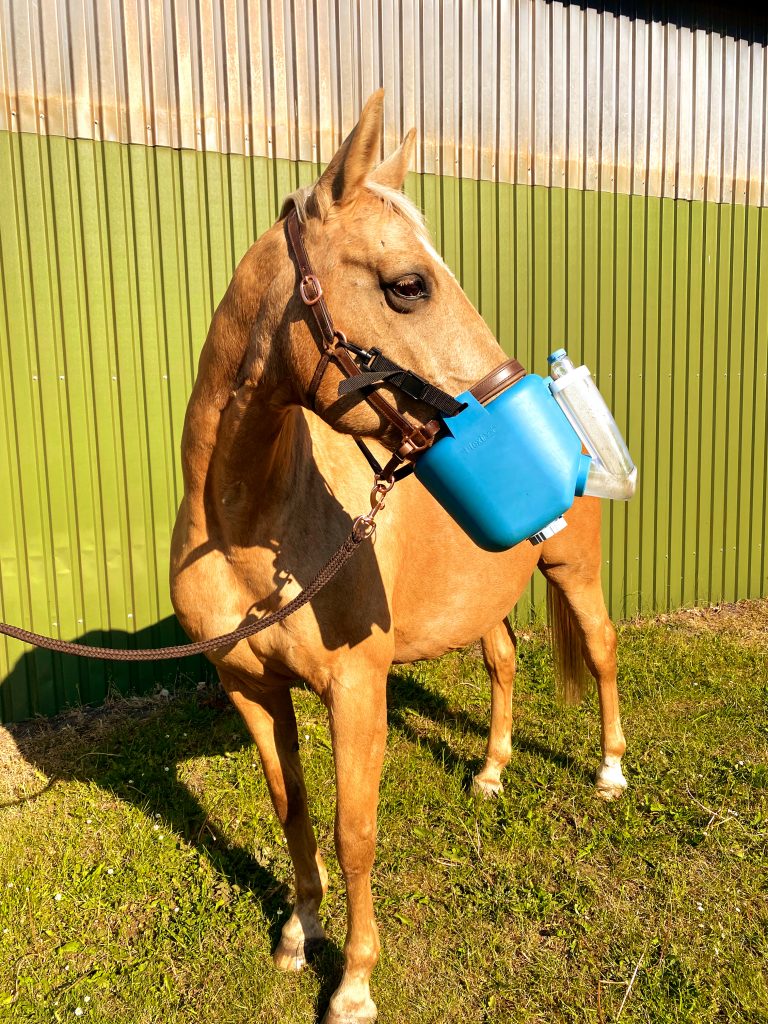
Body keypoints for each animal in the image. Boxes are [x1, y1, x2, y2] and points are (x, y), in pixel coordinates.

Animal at [169, 90, 627, 1024]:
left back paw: (608, 773)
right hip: (485, 597)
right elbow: (292, 808)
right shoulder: (250, 686)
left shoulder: (355, 688)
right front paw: (298, 934)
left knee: (601, 652)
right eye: (409, 285)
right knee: (502, 660)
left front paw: (353, 981)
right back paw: (489, 773)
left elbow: (355, 830)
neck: (248, 529)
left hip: (575, 575)